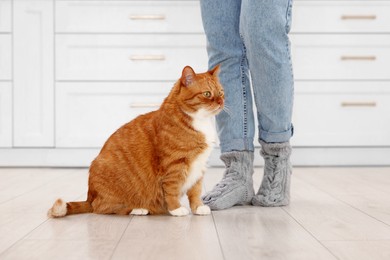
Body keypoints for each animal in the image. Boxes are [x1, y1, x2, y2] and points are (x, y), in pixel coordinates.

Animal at [47, 65, 224, 217]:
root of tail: (89, 197)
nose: (221, 102)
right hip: (107, 191)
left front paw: (198, 207)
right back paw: (139, 209)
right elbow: (172, 190)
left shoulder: (199, 167)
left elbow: (195, 191)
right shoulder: (174, 166)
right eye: (207, 94)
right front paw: (176, 209)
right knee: (102, 208)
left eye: (221, 93)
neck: (199, 122)